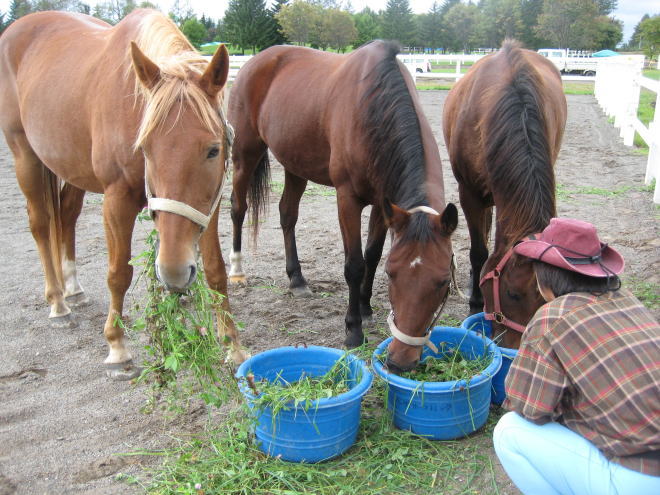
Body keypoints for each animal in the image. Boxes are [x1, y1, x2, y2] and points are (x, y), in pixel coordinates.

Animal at [0, 8, 246, 380]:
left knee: (66, 217)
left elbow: (216, 269)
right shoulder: (116, 201)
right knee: (41, 225)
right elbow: (118, 274)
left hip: (71, 169)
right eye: (144, 148)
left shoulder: (208, 204)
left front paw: (232, 344)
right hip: (25, 156)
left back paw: (73, 289)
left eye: (213, 150)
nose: (174, 274)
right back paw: (58, 303)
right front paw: (117, 346)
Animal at [227, 40, 458, 370]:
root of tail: (256, 60)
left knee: (287, 215)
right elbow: (354, 264)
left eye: (442, 282)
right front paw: (353, 328)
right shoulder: (347, 199)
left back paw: (296, 279)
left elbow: (372, 255)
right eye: (393, 275)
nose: (401, 362)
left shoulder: (383, 203)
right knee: (238, 208)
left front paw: (365, 307)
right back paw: (236, 270)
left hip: (295, 165)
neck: (373, 106)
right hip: (245, 153)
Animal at [444, 39, 568, 348]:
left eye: (546, 301)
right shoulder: (470, 194)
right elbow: (479, 252)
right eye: (513, 294)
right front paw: (475, 301)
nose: (513, 349)